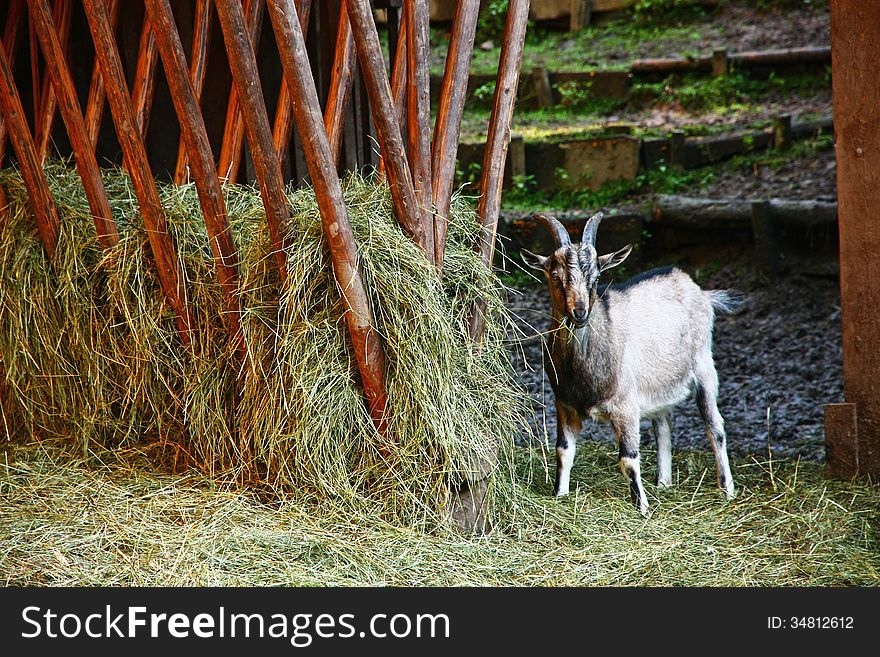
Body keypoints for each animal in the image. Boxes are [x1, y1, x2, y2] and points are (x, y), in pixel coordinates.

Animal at [524, 213, 744, 516]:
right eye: (555, 275)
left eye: (597, 277)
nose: (579, 312)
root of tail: (699, 290)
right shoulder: (564, 404)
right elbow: (563, 451)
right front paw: (560, 496)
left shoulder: (625, 405)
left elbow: (628, 458)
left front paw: (642, 508)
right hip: (659, 381)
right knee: (663, 424)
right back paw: (664, 482)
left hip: (703, 365)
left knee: (715, 425)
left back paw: (727, 489)